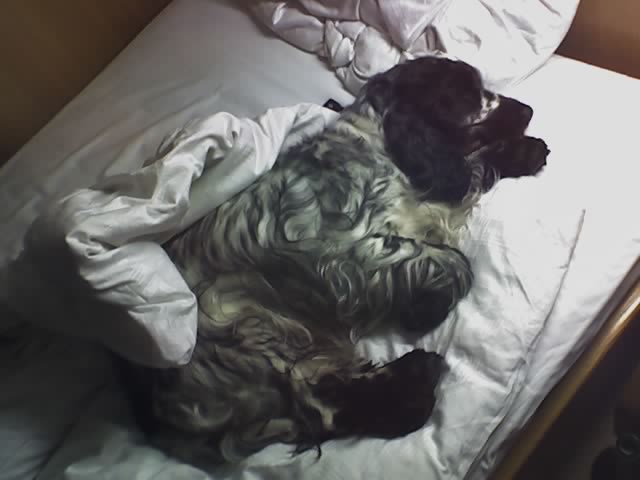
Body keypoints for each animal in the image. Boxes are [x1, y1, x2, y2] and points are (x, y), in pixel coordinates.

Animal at [119, 57, 549, 465]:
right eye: (467, 94)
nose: (528, 109)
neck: (375, 139)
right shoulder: (343, 251)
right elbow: (453, 260)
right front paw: (427, 307)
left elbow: (471, 172)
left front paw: (524, 151)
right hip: (247, 329)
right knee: (322, 405)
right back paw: (415, 382)